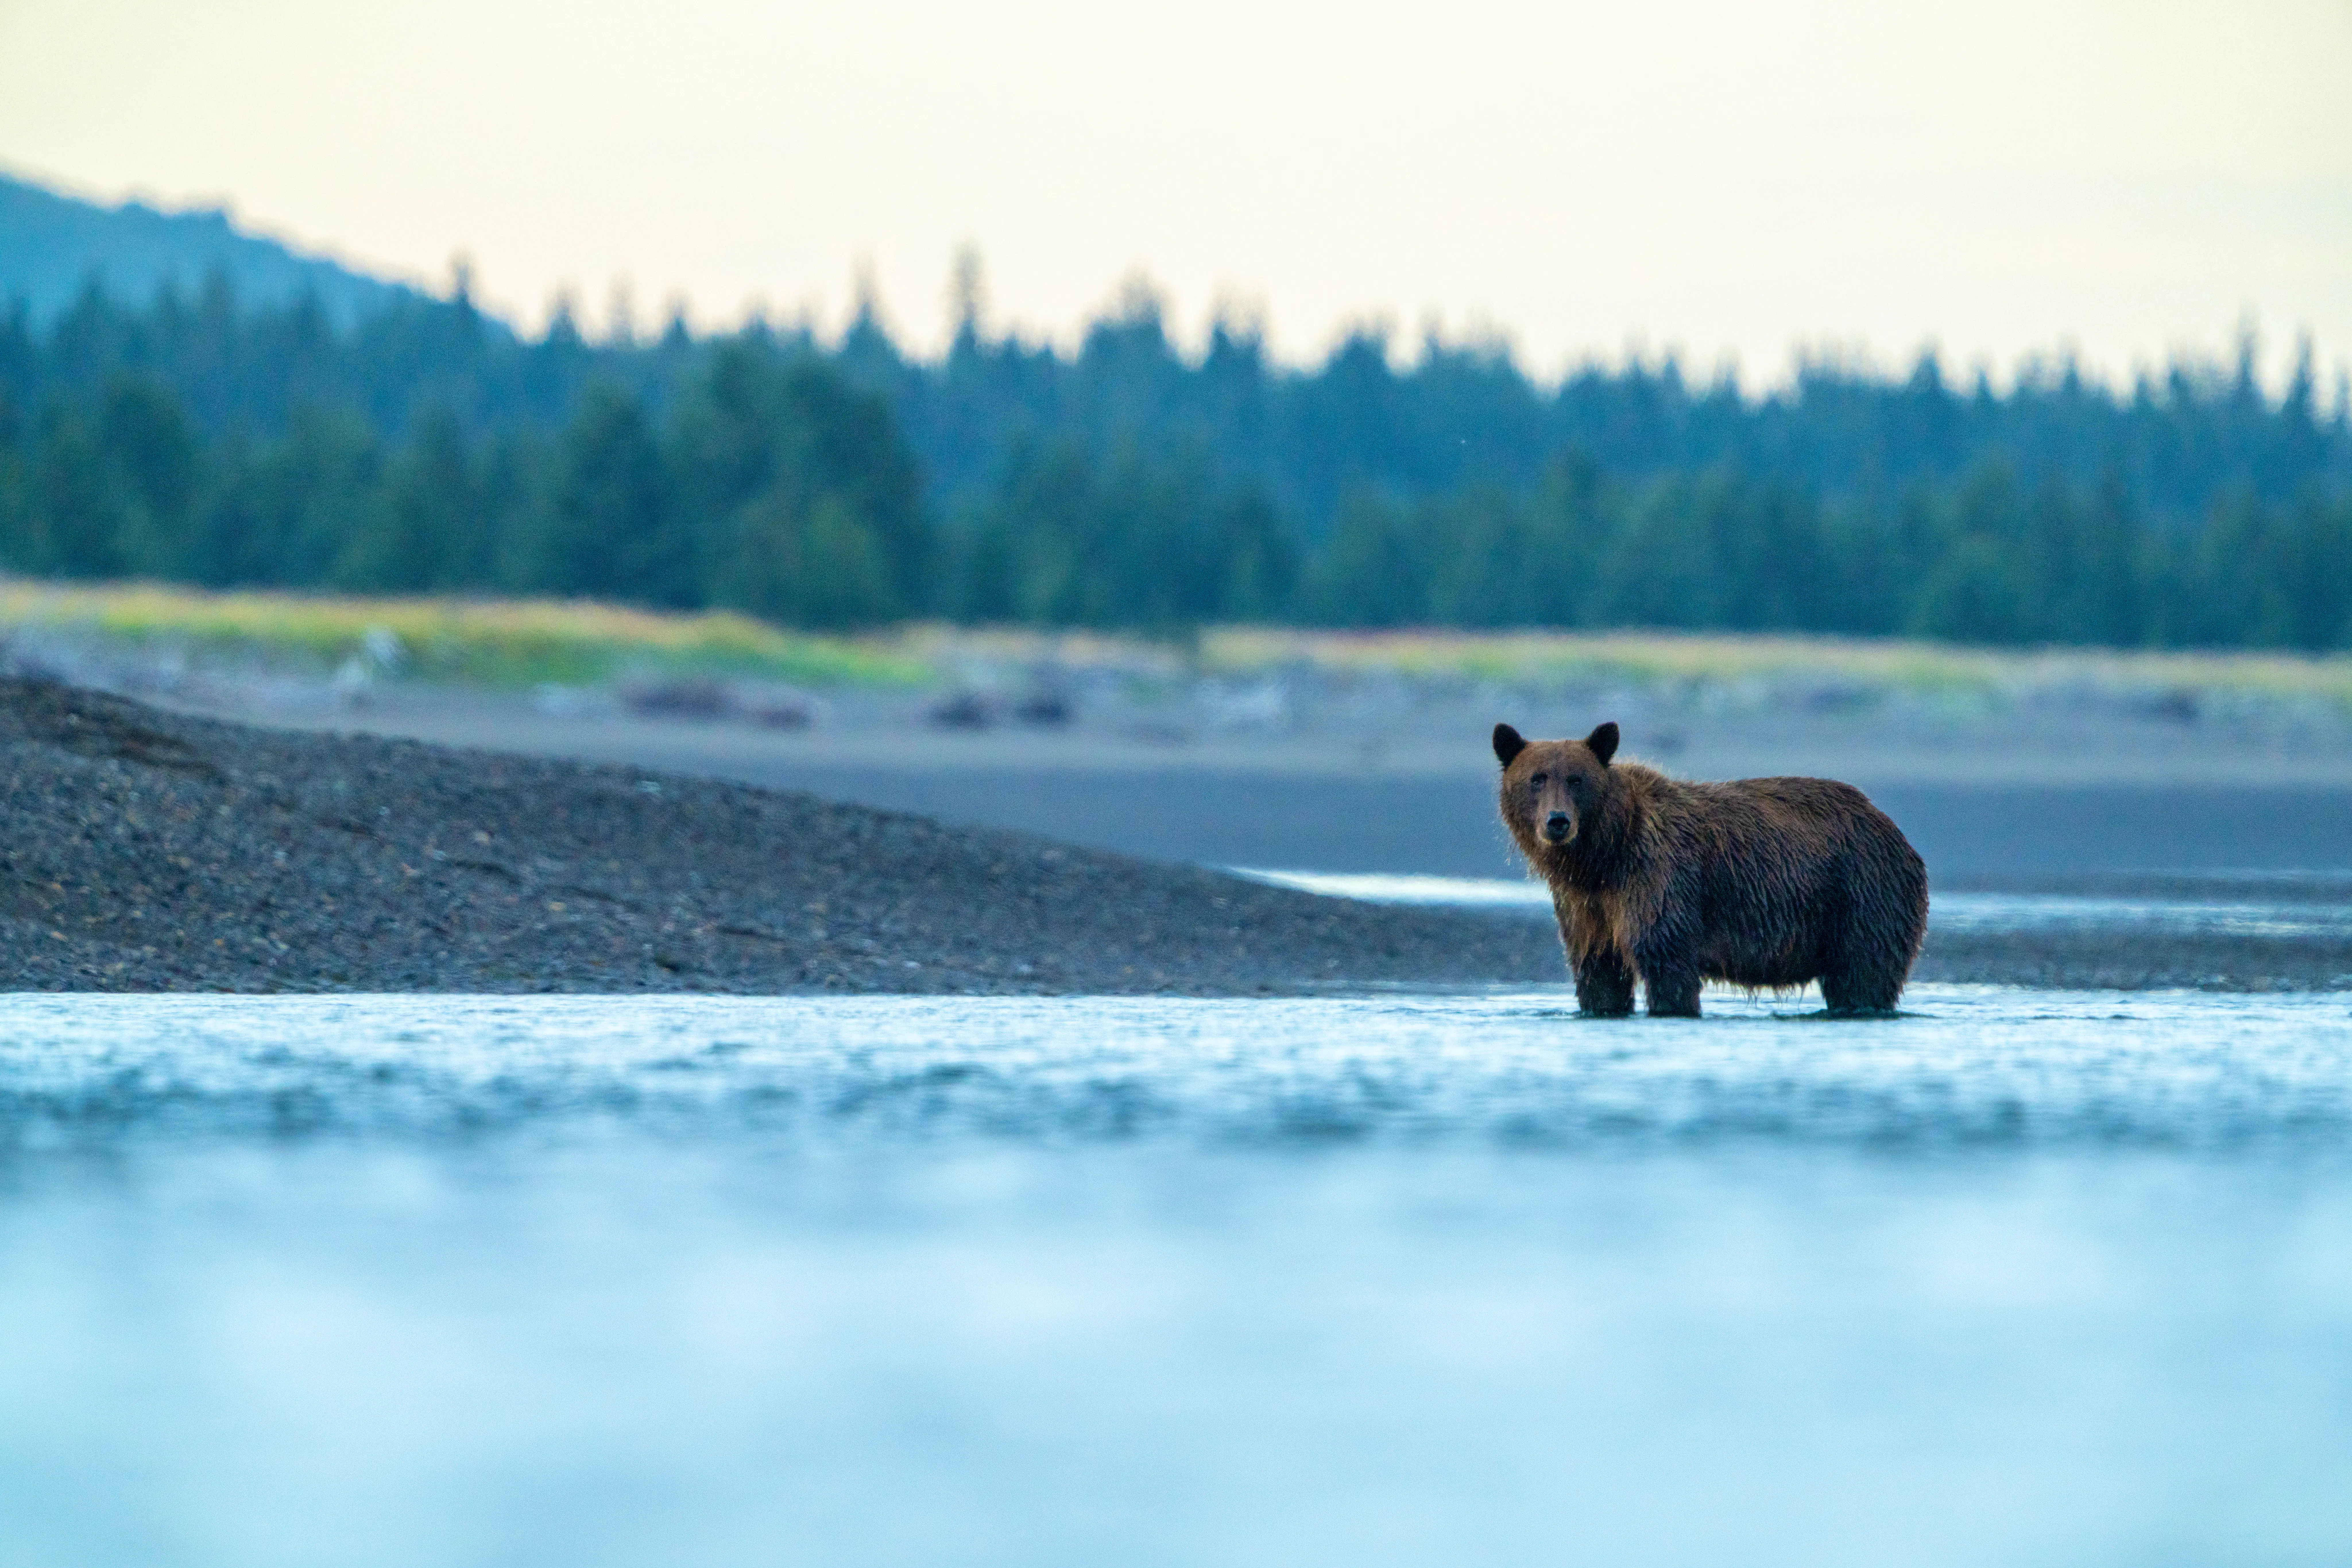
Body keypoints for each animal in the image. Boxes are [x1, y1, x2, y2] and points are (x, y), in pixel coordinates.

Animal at [1494, 721, 1927, 1017]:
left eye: (1576, 779)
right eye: (1536, 779)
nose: (1558, 822)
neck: (1604, 857)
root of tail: (1892, 828)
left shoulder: (1659, 880)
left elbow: (1667, 964)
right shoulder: (1588, 909)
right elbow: (1599, 973)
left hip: (1862, 896)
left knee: (1864, 974)